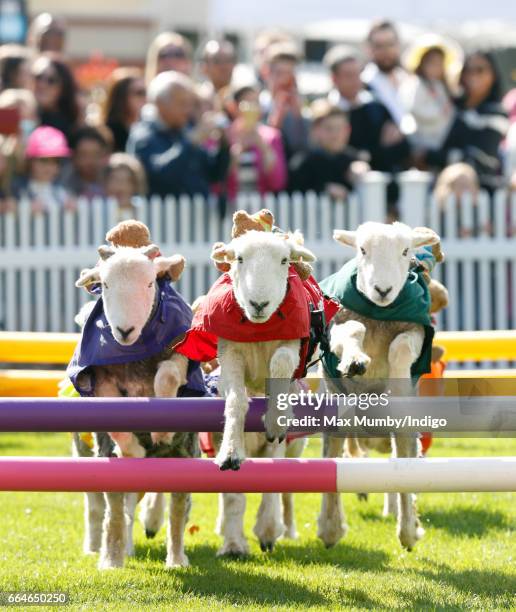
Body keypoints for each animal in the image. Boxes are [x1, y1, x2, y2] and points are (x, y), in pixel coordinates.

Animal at [68, 243, 206, 568]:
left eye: (149, 283)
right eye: (104, 284)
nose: (124, 330)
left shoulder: (180, 357)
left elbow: (167, 377)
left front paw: (162, 431)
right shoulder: (101, 380)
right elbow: (116, 422)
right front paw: (133, 449)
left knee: (168, 510)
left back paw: (167, 554)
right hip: (86, 454)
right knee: (102, 509)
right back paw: (105, 553)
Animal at [318, 222, 440, 552]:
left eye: (406, 251)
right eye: (362, 250)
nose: (382, 290)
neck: (380, 314)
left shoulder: (414, 332)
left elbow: (401, 348)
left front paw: (395, 384)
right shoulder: (338, 326)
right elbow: (353, 331)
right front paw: (356, 360)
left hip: (404, 433)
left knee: (402, 467)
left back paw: (408, 530)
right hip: (337, 417)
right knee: (333, 460)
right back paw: (330, 529)